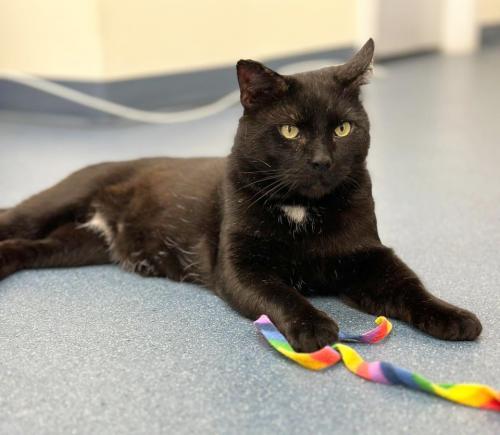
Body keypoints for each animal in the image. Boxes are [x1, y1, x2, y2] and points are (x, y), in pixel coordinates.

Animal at [0, 38, 484, 350]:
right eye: (290, 130)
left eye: (344, 129)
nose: (322, 161)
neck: (302, 209)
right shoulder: (238, 265)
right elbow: (281, 293)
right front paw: (313, 326)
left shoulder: (367, 256)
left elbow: (410, 284)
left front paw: (453, 316)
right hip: (55, 204)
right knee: (18, 221)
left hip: (77, 244)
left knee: (29, 247)